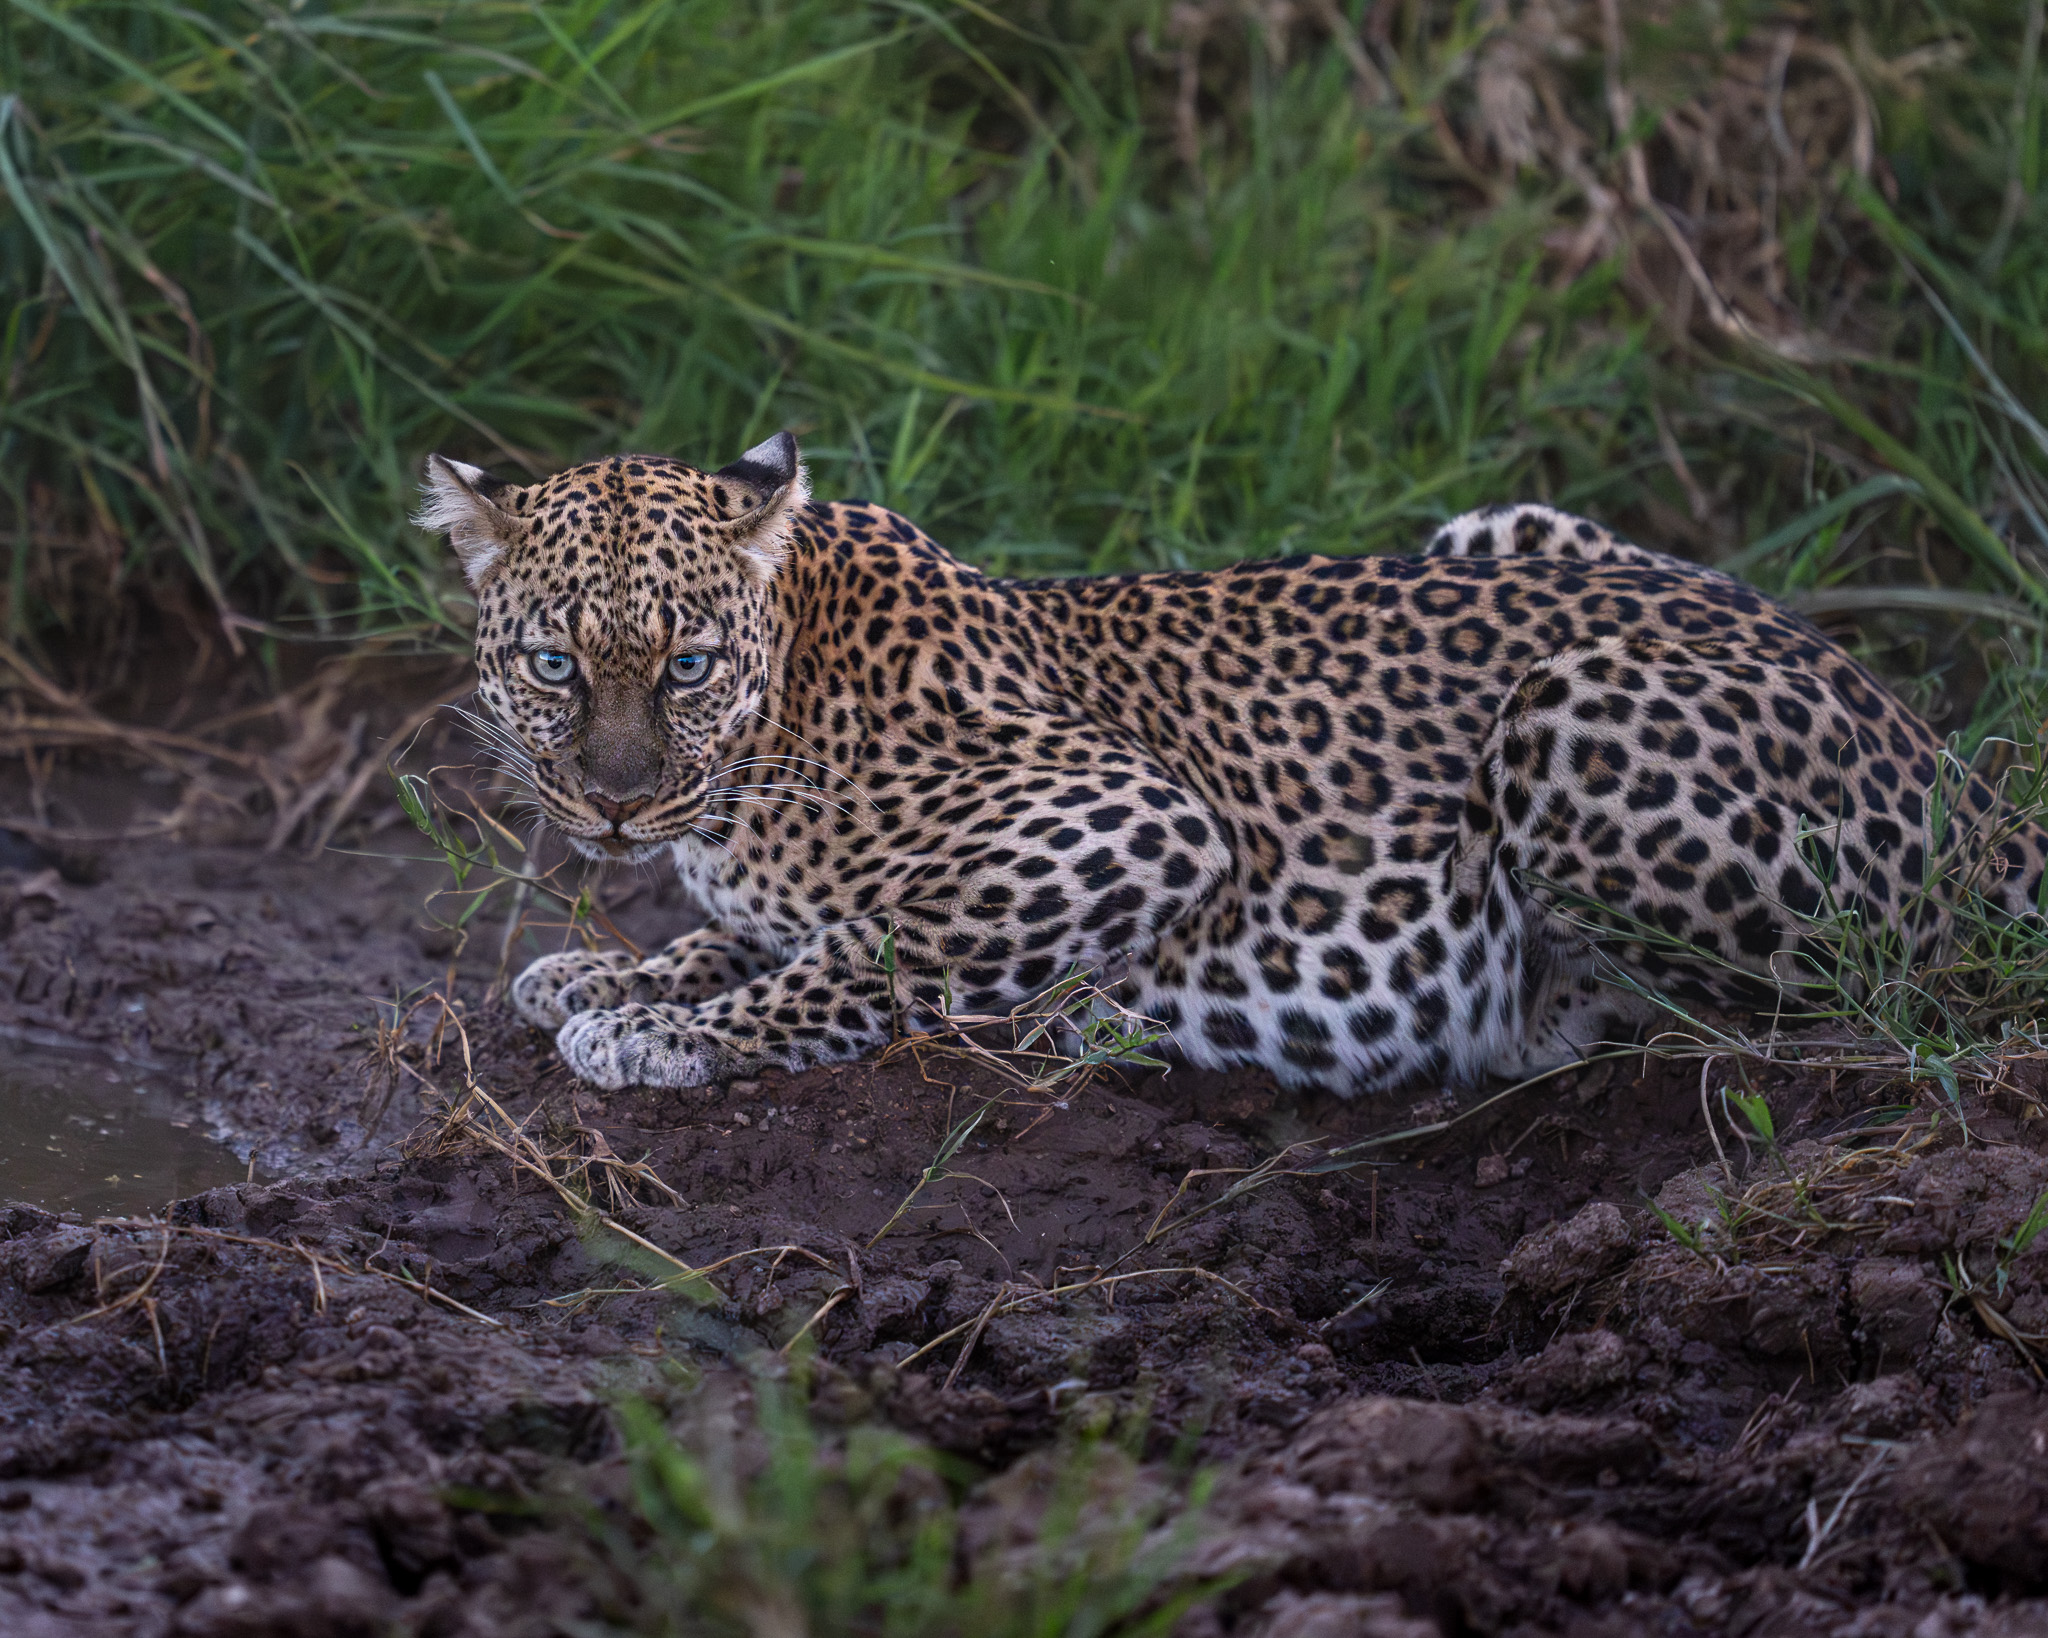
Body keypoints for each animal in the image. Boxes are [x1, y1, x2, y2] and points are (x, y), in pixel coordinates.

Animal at [415, 431, 2048, 1095]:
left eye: (687, 666)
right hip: (1493, 527)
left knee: (1836, 993)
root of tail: (1953, 770)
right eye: (555, 665)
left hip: (1567, 711)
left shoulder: (1124, 820)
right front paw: (613, 972)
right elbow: (759, 928)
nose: (615, 800)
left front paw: (661, 1030)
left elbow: (875, 944)